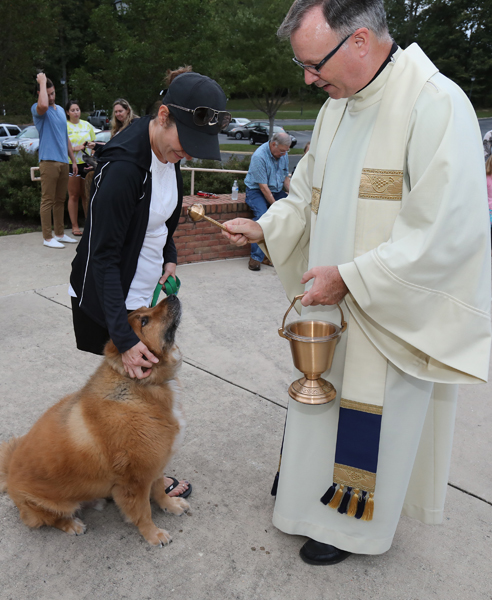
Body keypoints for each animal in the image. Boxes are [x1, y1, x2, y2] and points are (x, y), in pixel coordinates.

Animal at [0, 296, 188, 548]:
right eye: (144, 321)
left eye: (145, 309)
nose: (173, 296)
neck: (140, 383)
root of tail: (8, 470)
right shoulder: (135, 480)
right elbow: (143, 511)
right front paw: (152, 534)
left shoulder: (155, 464)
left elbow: (159, 491)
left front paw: (170, 505)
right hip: (51, 505)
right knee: (52, 519)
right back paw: (72, 524)